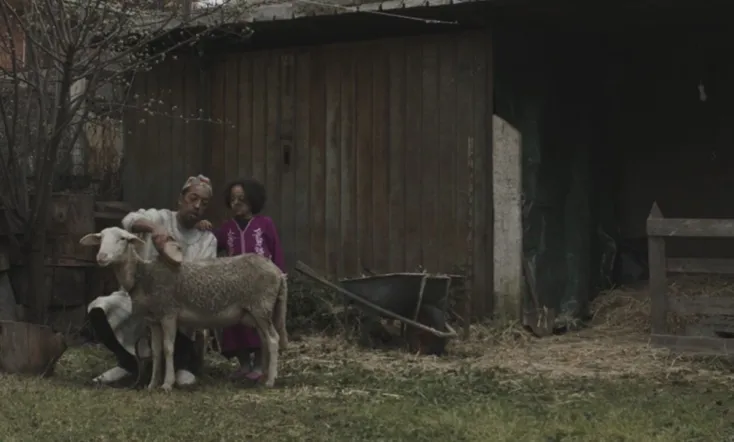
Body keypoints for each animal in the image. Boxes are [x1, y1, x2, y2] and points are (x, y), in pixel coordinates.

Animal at [79, 226, 288, 390]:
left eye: (123, 239)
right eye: (100, 238)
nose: (101, 257)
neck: (144, 276)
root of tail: (278, 272)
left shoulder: (169, 313)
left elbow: (168, 348)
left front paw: (167, 384)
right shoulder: (153, 320)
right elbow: (156, 351)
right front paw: (152, 384)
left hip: (261, 306)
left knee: (273, 339)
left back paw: (270, 381)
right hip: (256, 312)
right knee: (265, 341)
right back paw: (263, 377)